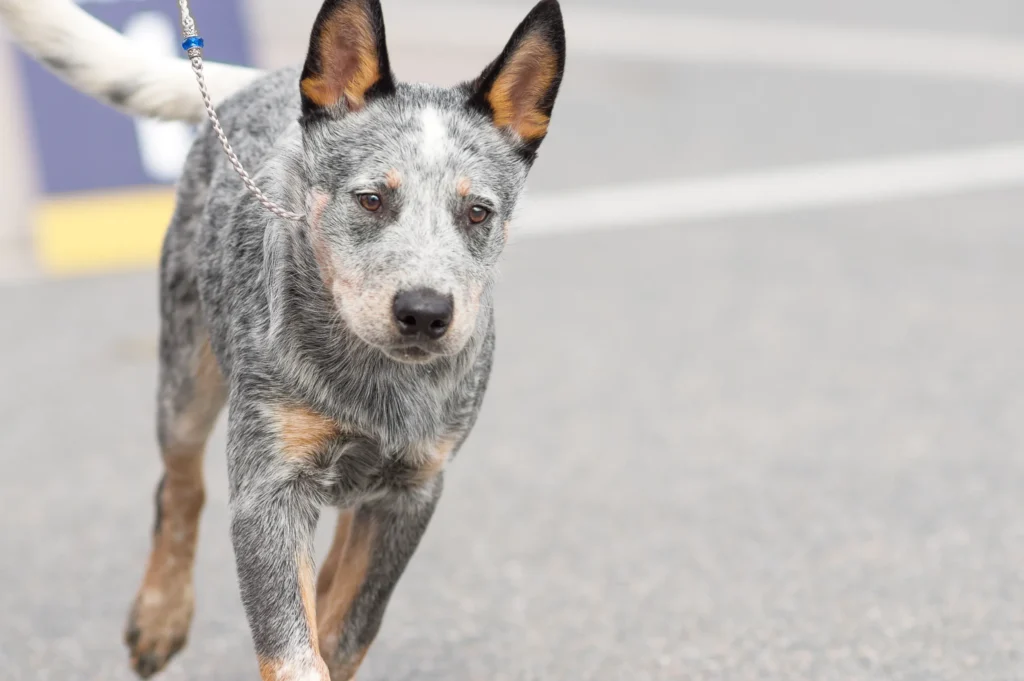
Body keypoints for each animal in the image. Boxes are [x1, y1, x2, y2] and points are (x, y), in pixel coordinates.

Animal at [0, 0, 565, 675]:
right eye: (371, 200)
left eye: (477, 212)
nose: (425, 312)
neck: (373, 381)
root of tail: (259, 81)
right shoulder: (269, 489)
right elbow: (294, 648)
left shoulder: (413, 491)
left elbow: (349, 626)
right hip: (186, 376)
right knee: (180, 484)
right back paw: (159, 617)